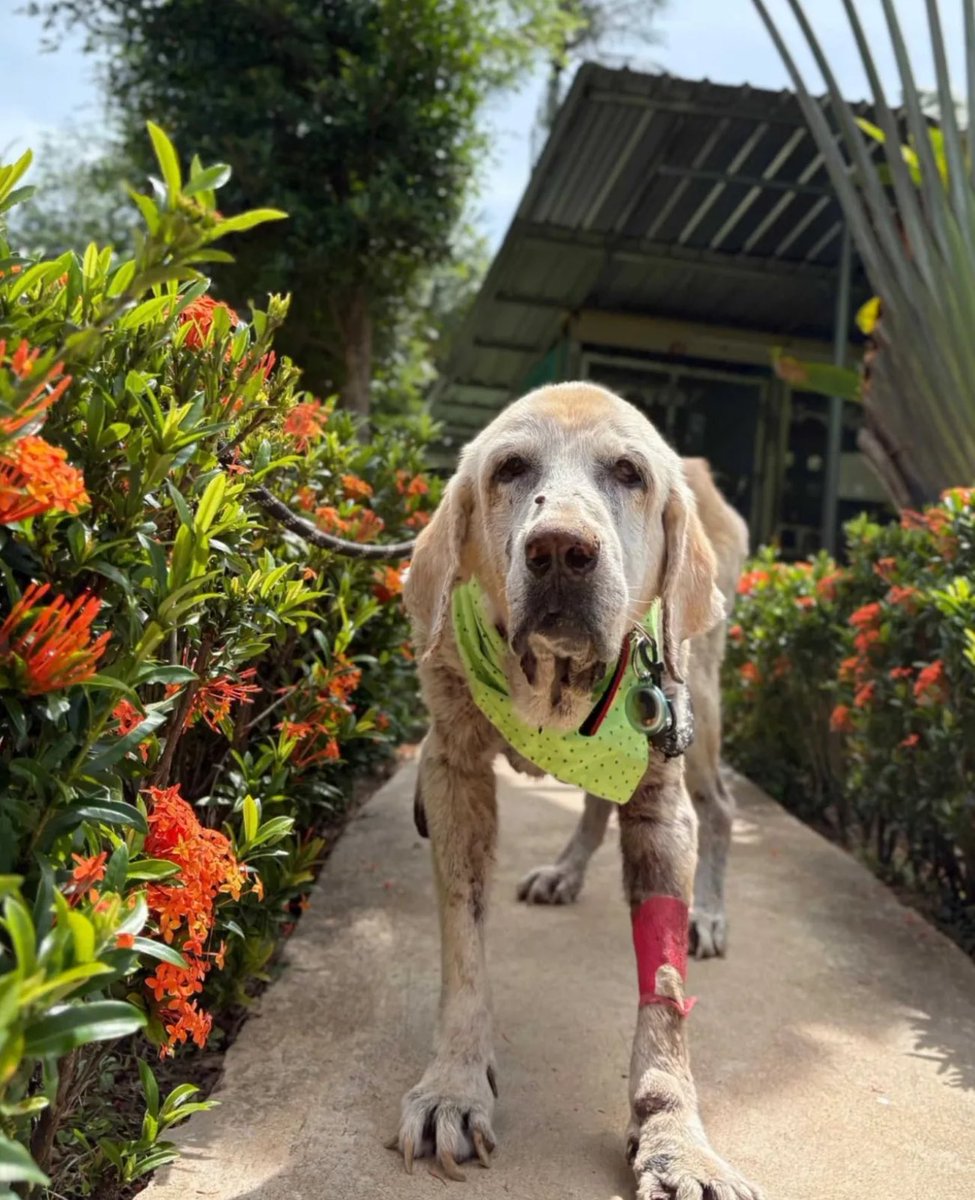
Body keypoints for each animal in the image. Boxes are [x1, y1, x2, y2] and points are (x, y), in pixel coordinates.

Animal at [397, 382, 758, 1199]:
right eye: (509, 467)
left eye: (628, 472)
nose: (560, 550)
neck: (553, 692)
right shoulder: (452, 774)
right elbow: (463, 947)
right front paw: (453, 1084)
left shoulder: (661, 798)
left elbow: (663, 992)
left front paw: (674, 1139)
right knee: (593, 799)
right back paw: (565, 869)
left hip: (700, 708)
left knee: (721, 808)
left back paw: (710, 911)